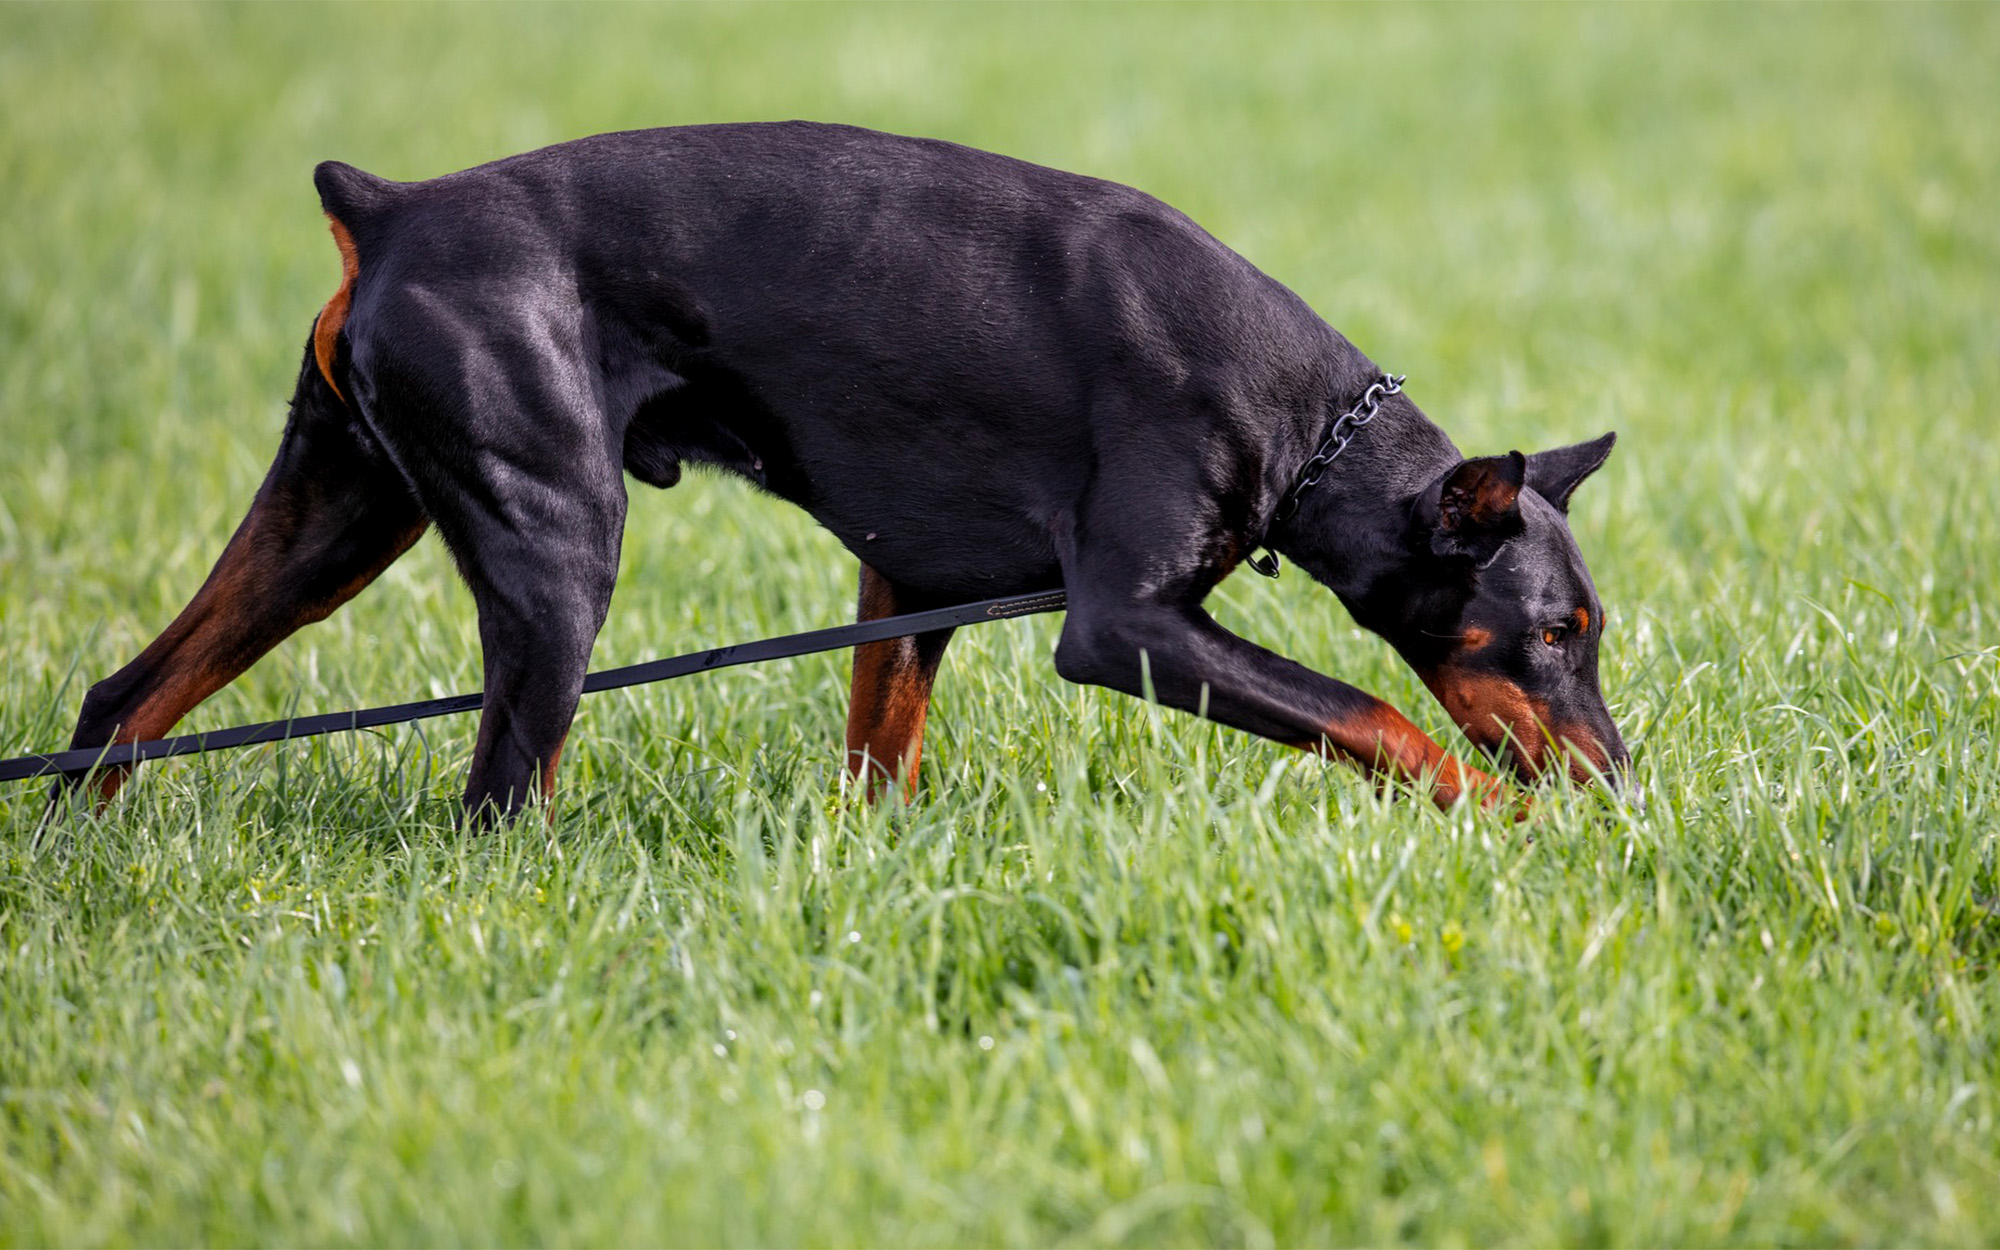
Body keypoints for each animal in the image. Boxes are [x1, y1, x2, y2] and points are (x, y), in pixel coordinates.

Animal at [58, 119, 1624, 820]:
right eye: (1552, 631)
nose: (1619, 775)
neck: (1309, 424)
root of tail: (386, 210)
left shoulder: (911, 580)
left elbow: (883, 747)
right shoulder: (1124, 624)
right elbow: (1375, 712)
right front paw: (1511, 818)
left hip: (337, 509)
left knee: (125, 698)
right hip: (554, 544)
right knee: (500, 793)